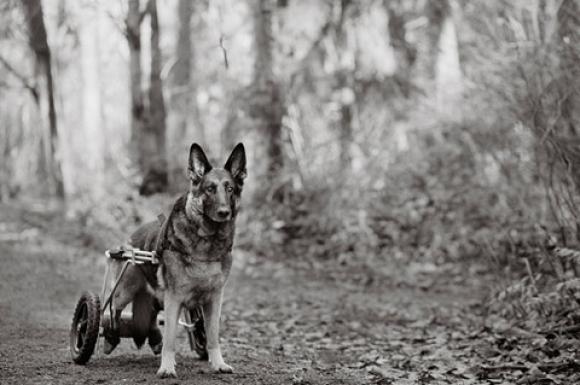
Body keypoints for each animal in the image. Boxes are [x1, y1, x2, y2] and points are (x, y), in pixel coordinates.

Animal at [103, 142, 246, 376]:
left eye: (230, 189)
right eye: (209, 189)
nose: (224, 212)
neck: (206, 242)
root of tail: (133, 236)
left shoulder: (214, 300)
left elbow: (212, 335)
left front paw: (217, 362)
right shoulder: (174, 298)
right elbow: (170, 337)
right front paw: (167, 367)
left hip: (155, 298)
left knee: (150, 318)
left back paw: (154, 338)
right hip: (125, 291)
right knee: (113, 309)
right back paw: (110, 336)